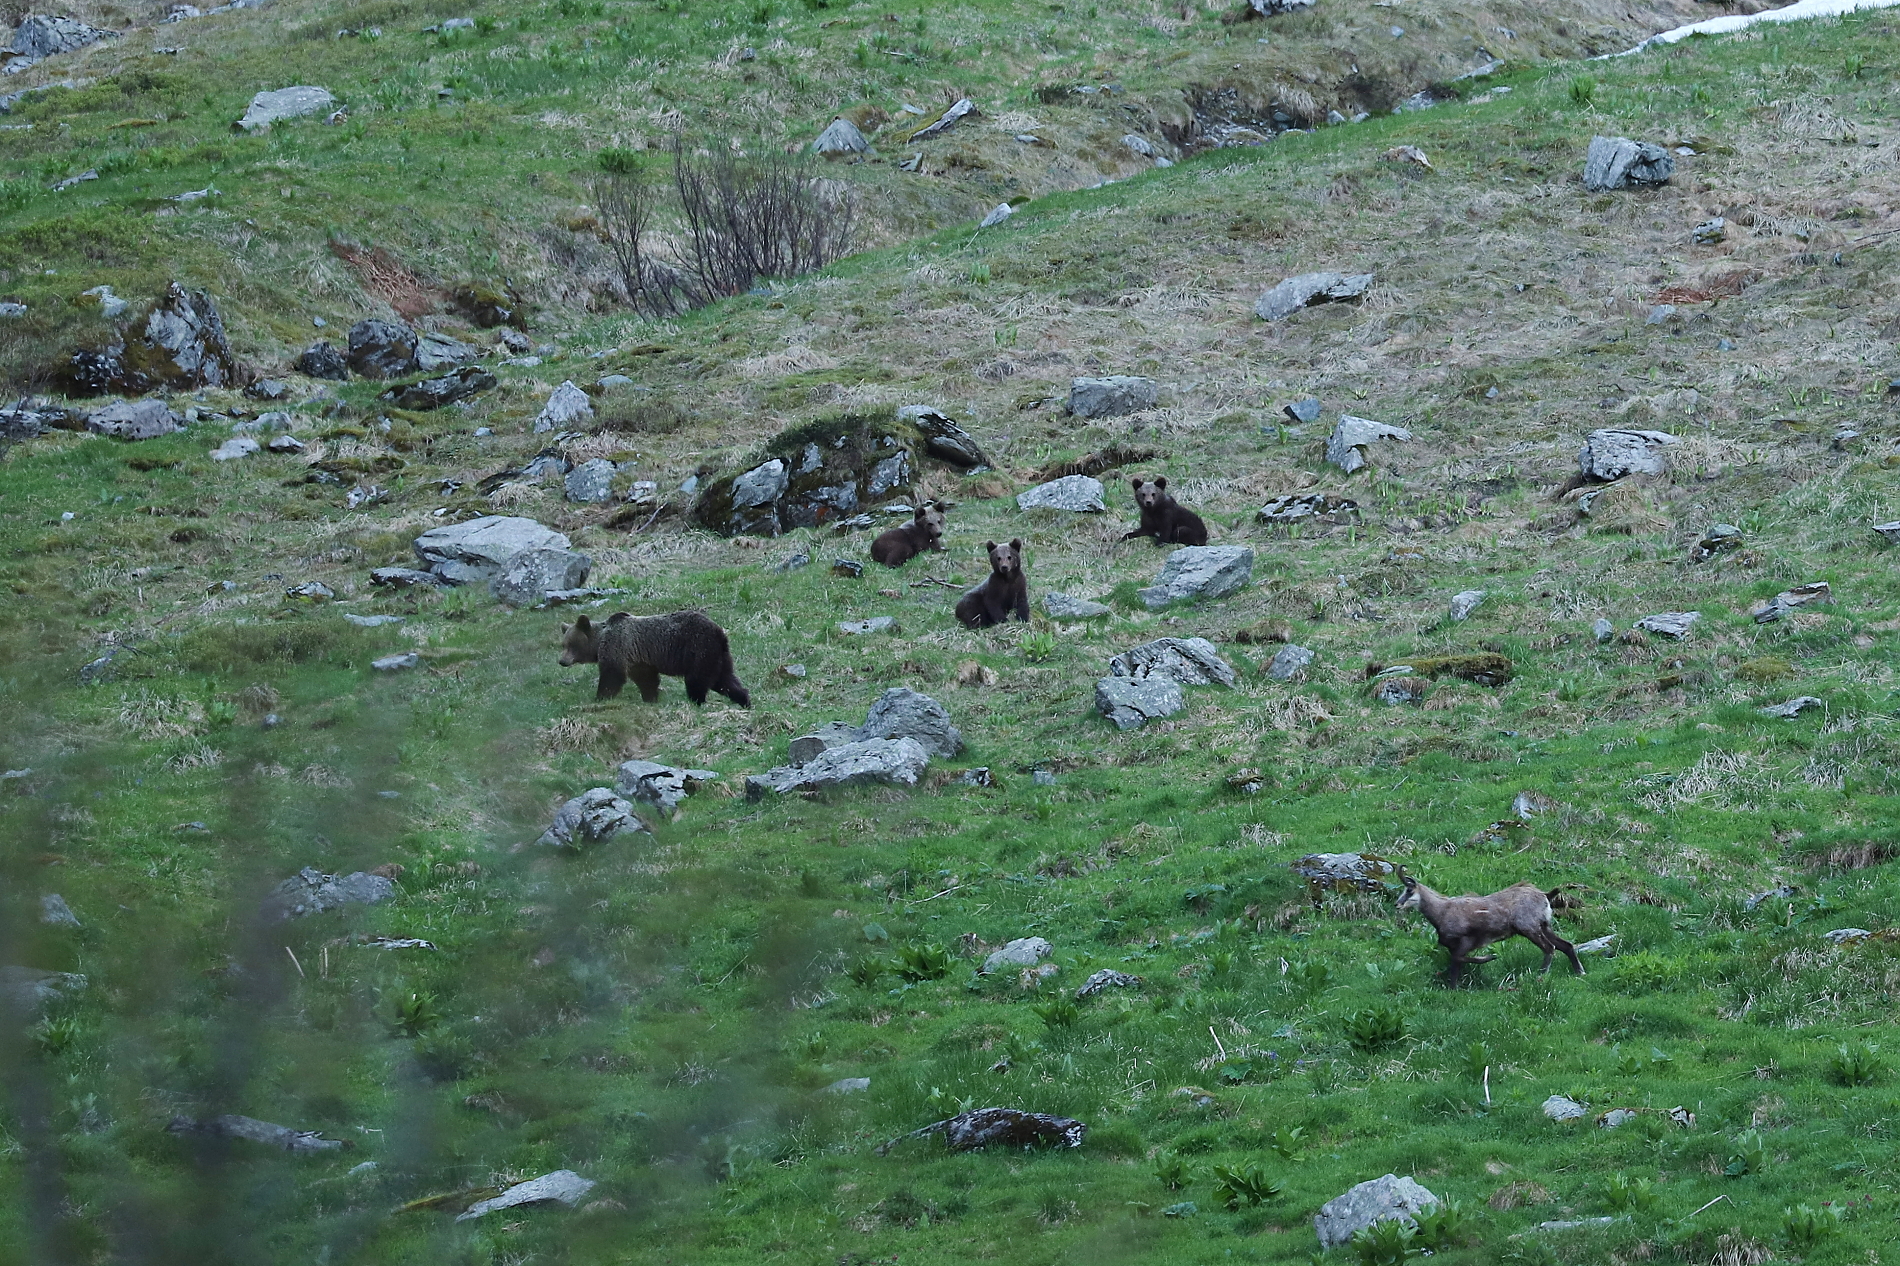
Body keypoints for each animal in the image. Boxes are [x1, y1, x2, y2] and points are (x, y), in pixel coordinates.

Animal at [554, 608, 748, 703]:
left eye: (572, 645)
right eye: (563, 644)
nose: (562, 661)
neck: (599, 640)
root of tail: (719, 633)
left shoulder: (618, 647)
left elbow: (612, 675)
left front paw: (600, 697)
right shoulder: (638, 659)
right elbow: (646, 679)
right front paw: (650, 698)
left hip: (699, 650)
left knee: (697, 680)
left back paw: (696, 701)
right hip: (718, 656)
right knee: (725, 680)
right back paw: (744, 699)